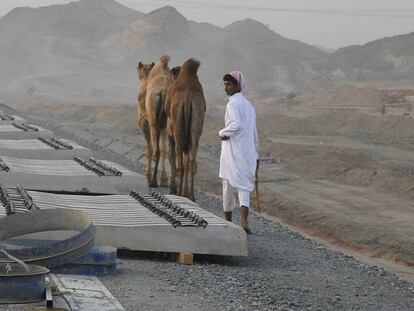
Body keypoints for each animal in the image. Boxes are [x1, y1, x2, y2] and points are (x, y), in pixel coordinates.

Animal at [166, 58, 206, 201]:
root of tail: (188, 99)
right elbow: (188, 159)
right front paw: (186, 192)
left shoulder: (170, 131)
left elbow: (171, 155)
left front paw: (173, 188)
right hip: (196, 123)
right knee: (191, 162)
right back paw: (191, 195)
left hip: (178, 128)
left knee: (181, 161)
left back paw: (178, 192)